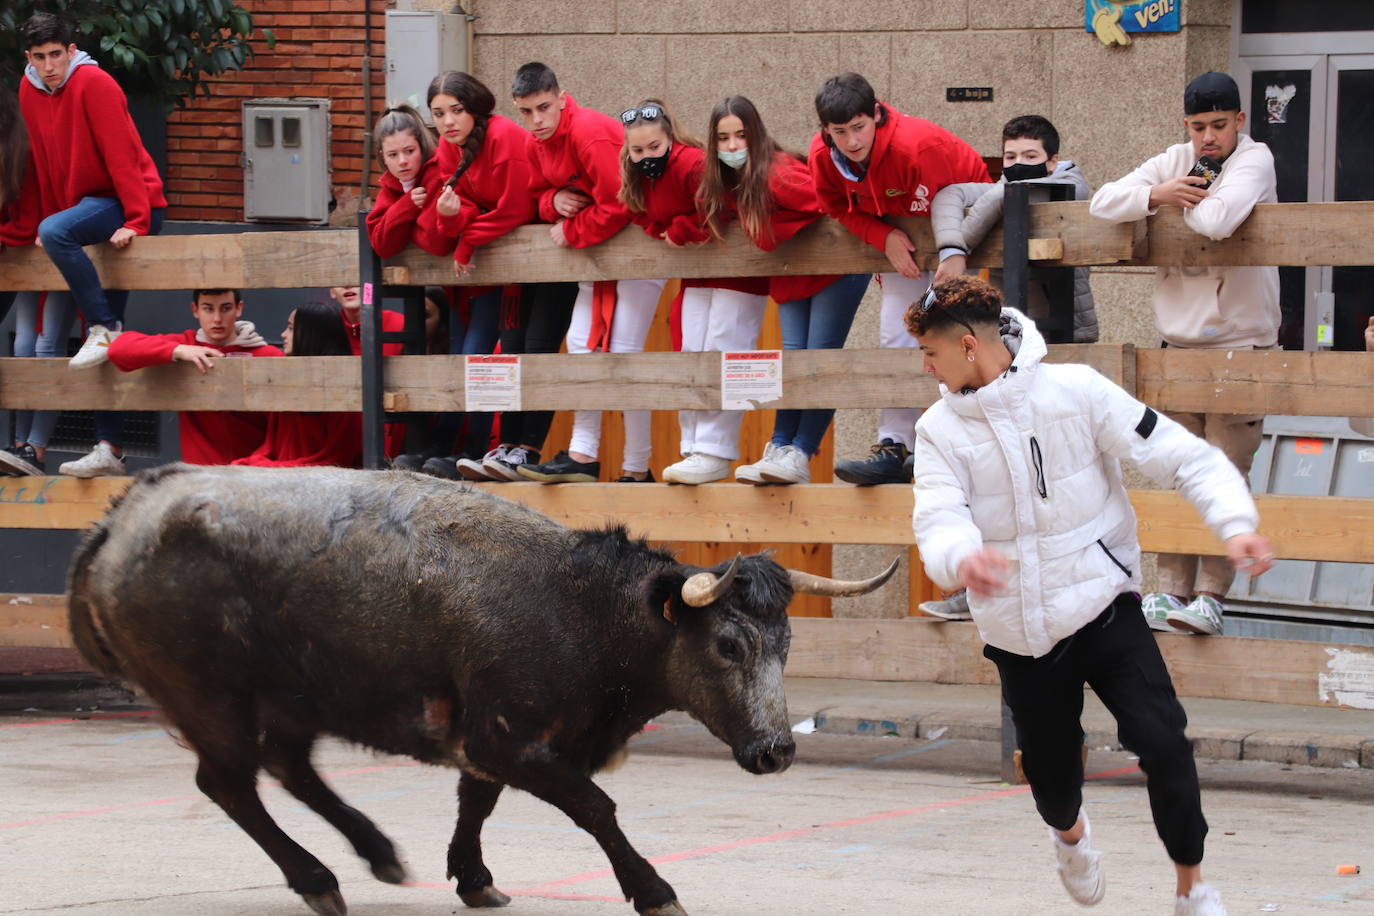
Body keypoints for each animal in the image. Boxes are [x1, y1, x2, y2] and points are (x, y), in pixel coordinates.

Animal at [66, 469, 901, 911]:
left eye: (785, 645)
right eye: (728, 644)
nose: (775, 752)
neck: (578, 606)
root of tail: (125, 516)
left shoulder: (491, 741)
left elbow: (477, 802)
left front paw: (473, 878)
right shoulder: (514, 739)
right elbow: (595, 808)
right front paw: (653, 886)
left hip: (294, 698)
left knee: (288, 768)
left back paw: (376, 852)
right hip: (209, 700)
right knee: (231, 784)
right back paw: (317, 878)